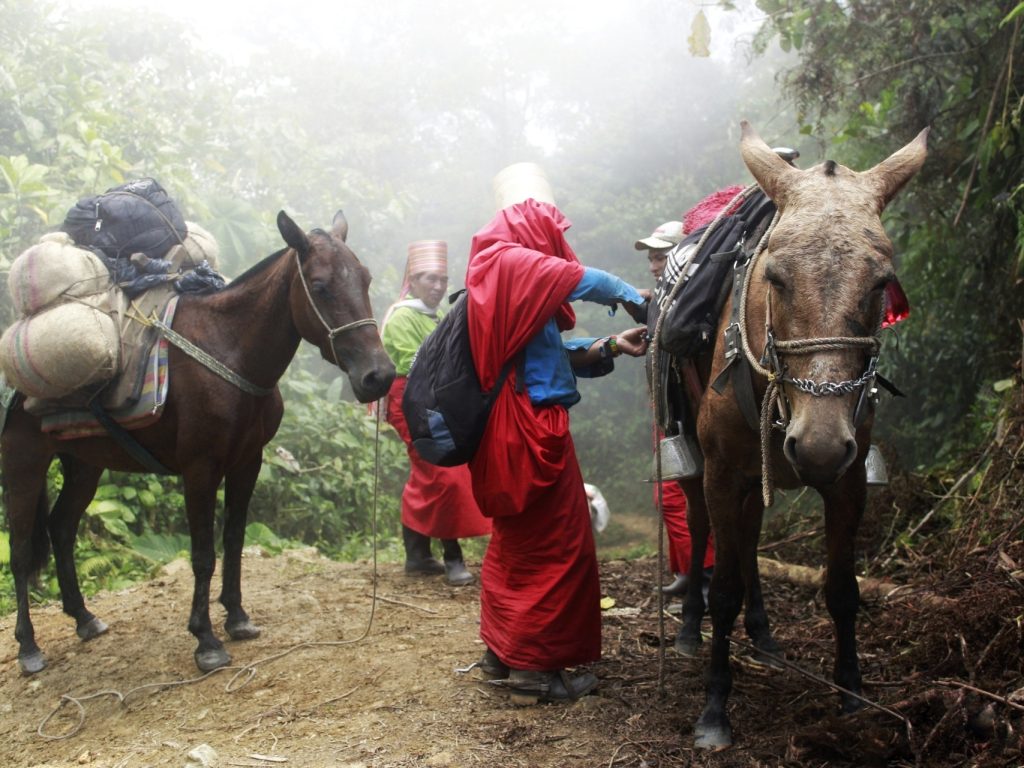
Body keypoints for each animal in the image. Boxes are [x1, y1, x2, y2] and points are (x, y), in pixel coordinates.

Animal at [2, 208, 395, 671]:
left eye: (365, 279)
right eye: (319, 286)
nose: (379, 376)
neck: (230, 351)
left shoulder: (248, 463)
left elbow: (234, 539)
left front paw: (238, 616)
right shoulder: (199, 469)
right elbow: (204, 554)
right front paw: (205, 638)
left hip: (85, 465)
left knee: (62, 528)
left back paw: (83, 617)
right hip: (24, 463)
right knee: (21, 551)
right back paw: (28, 646)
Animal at [671, 123, 929, 749]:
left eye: (882, 282)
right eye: (776, 277)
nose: (817, 445)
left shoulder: (849, 478)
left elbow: (841, 588)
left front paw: (853, 695)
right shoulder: (723, 473)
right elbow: (724, 589)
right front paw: (715, 709)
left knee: (748, 538)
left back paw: (764, 637)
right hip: (694, 456)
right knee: (699, 526)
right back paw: (689, 627)